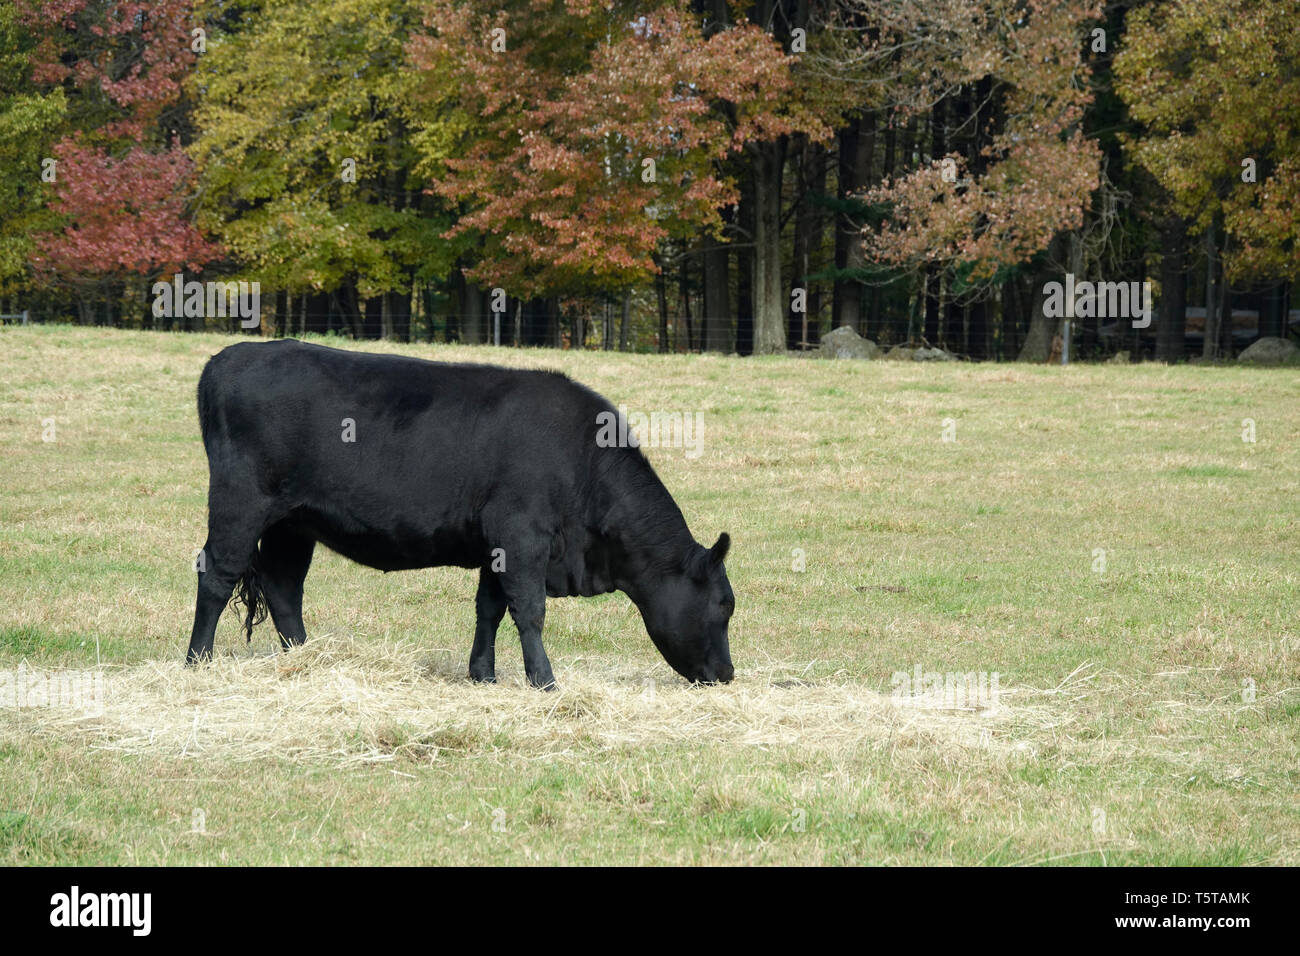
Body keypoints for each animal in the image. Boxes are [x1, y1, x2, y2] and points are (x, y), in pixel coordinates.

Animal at [184, 340, 735, 689]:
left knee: (283, 587)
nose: (728, 675)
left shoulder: (497, 544)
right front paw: (545, 682)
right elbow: (529, 610)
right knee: (216, 575)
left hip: (294, 522)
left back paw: (307, 660)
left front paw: (483, 675)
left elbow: (489, 609)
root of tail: (228, 356)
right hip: (240, 502)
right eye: (725, 606)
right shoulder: (522, 533)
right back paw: (197, 663)